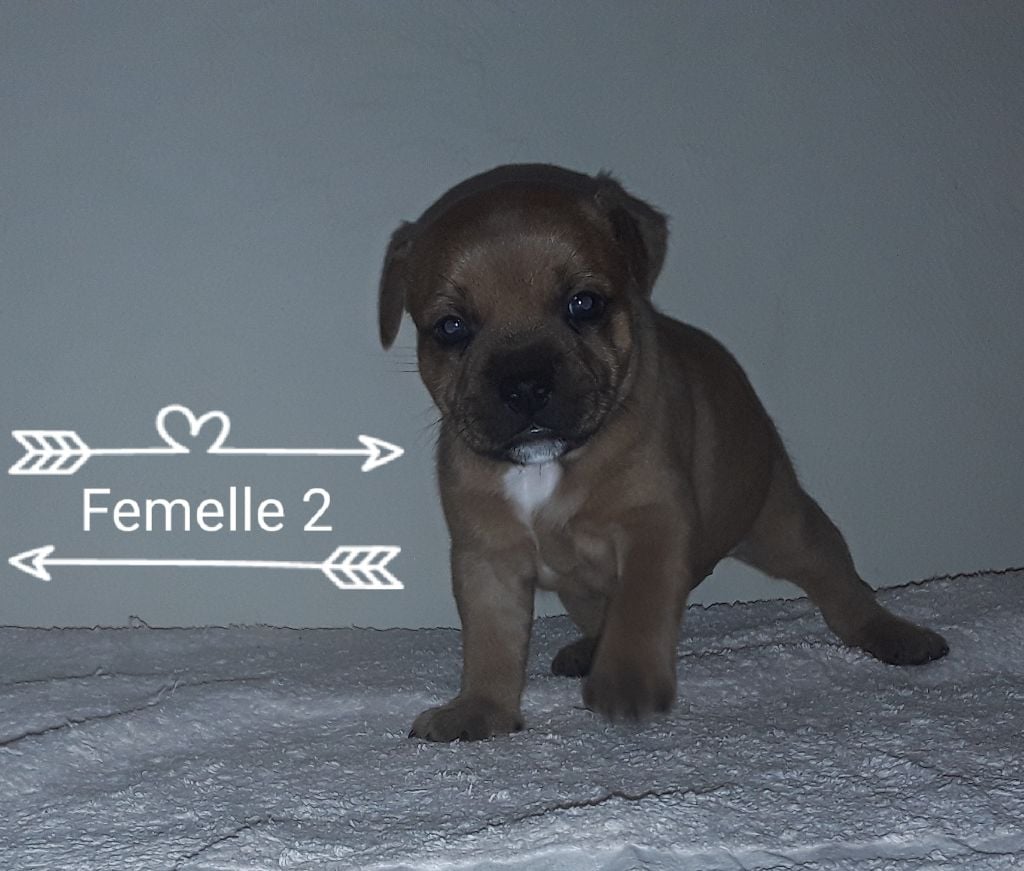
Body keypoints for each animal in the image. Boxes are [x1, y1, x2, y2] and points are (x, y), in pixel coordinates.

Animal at [378, 164, 949, 742]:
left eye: (584, 304)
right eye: (451, 328)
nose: (524, 384)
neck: (549, 466)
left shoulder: (653, 524)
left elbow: (640, 608)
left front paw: (625, 684)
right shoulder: (486, 557)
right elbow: (489, 641)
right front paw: (481, 709)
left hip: (782, 526)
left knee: (838, 581)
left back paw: (893, 634)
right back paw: (587, 650)